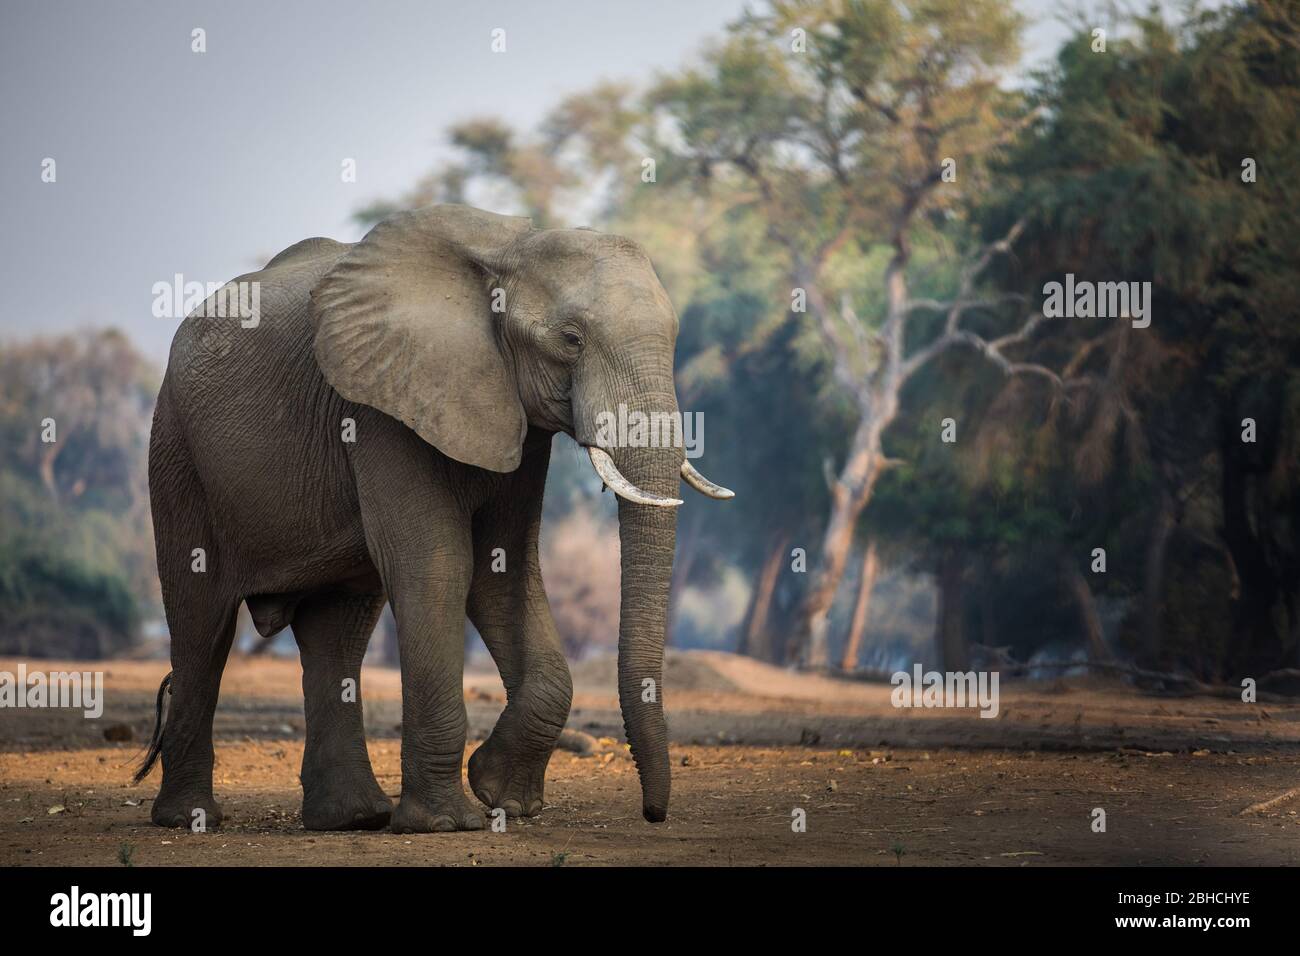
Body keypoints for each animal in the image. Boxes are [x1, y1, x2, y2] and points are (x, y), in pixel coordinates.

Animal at [137, 205, 738, 832]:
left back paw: (352, 818)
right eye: (571, 340)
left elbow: (504, 572)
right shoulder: (380, 405)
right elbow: (438, 565)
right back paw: (190, 819)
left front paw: (503, 797)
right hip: (176, 449)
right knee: (200, 620)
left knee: (339, 628)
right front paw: (448, 823)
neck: (510, 247)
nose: (653, 814)